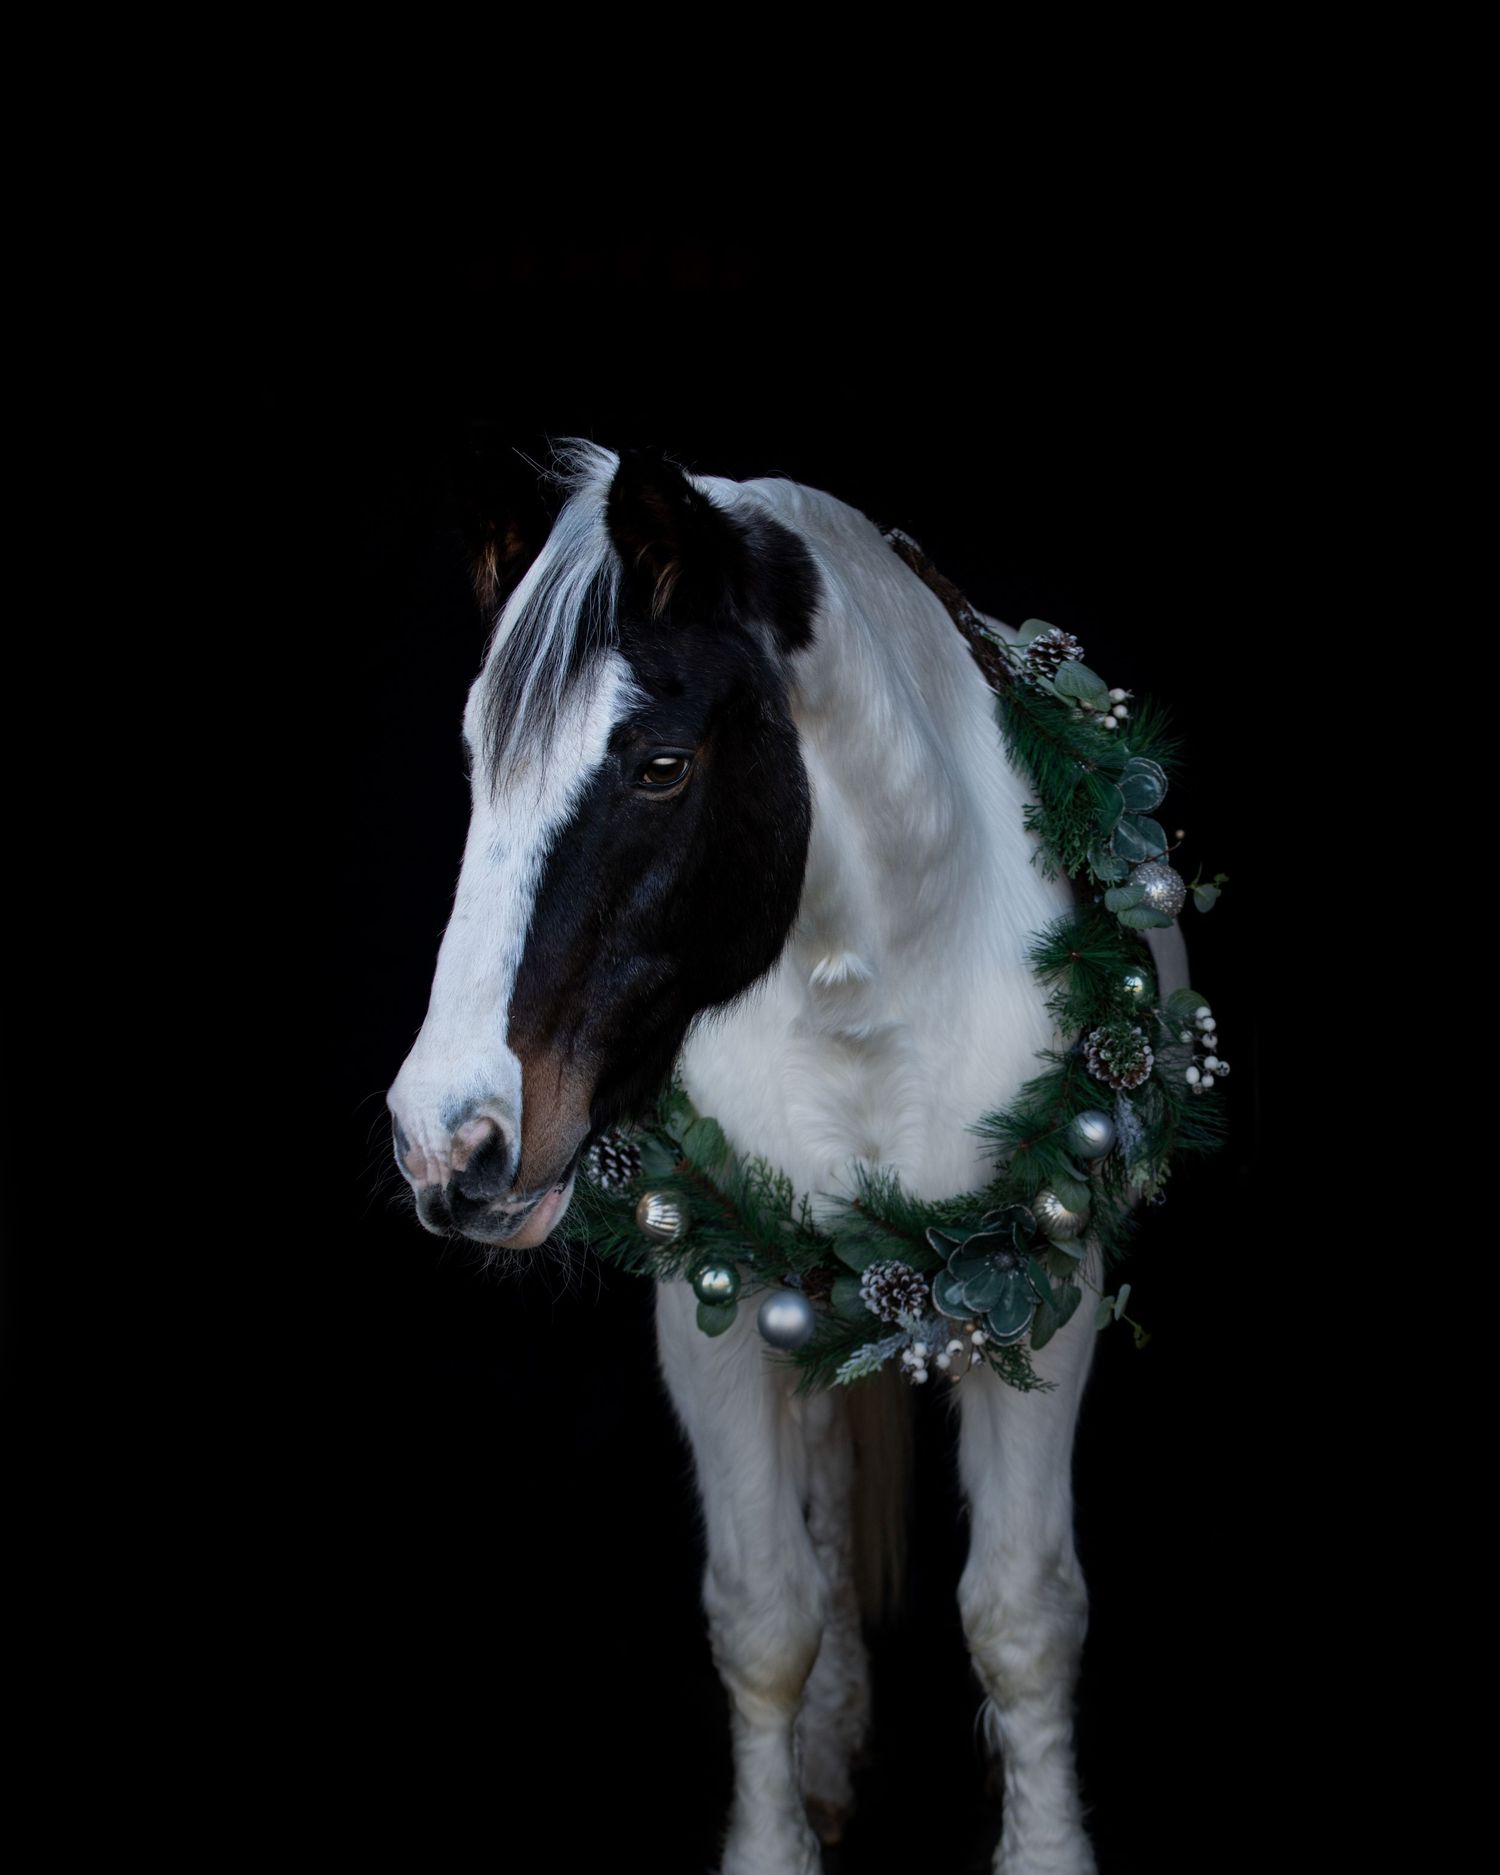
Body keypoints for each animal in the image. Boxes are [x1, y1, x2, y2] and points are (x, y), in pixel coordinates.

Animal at [385, 438, 1189, 1875]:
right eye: (479, 755)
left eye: (658, 765)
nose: (447, 1140)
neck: (864, 989)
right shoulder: (704, 1306)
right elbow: (765, 1615)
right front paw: (776, 1831)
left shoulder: (1051, 1286)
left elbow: (1025, 1615)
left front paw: (1046, 1851)